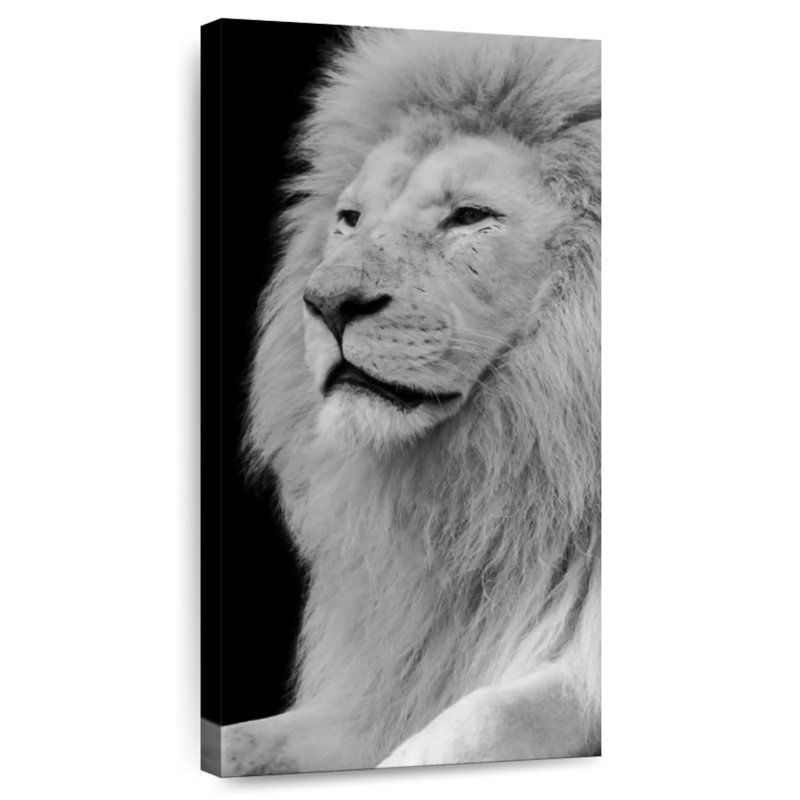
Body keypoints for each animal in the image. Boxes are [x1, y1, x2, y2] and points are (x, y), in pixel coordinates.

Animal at [221, 28, 600, 775]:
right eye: (349, 219)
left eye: (470, 217)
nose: (326, 303)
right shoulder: (390, 684)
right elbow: (247, 738)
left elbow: (480, 720)